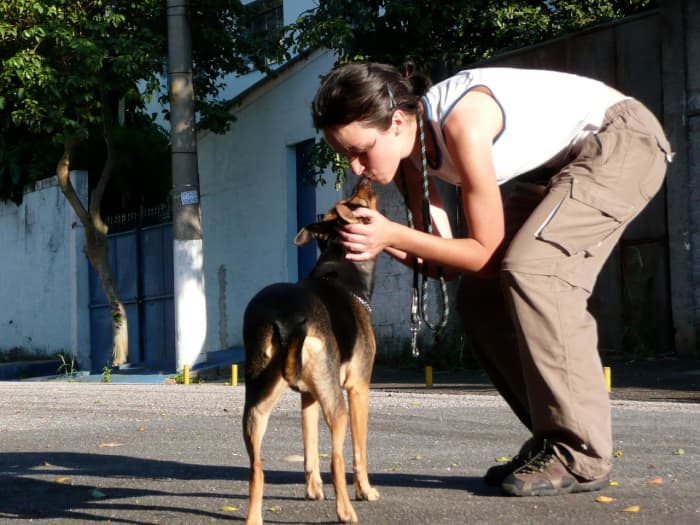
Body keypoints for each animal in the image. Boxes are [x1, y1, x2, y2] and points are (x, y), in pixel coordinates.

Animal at [243, 178, 380, 520]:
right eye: (357, 202)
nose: (365, 178)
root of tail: (286, 318)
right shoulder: (358, 388)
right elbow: (358, 451)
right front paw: (366, 491)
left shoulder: (309, 396)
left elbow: (309, 445)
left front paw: (313, 490)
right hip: (337, 404)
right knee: (337, 459)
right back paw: (346, 513)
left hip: (258, 403)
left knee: (257, 469)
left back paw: (254, 518)